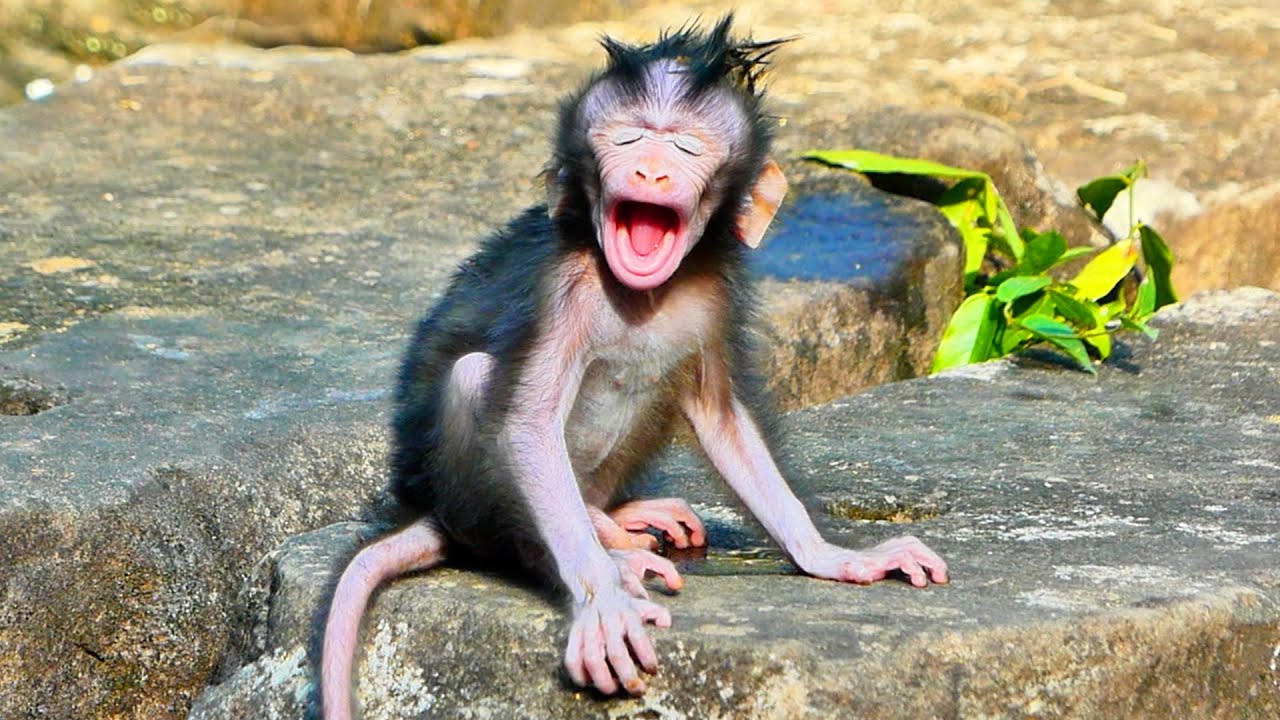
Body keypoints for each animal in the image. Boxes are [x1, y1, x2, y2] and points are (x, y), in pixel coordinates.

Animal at [321, 16, 948, 719]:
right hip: (468, 502)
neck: (643, 293)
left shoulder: (713, 295)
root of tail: (433, 509)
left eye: (685, 147)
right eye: (626, 139)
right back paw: (600, 547)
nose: (649, 172)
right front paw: (602, 601)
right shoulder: (565, 287)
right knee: (477, 381)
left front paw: (832, 556)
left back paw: (615, 518)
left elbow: (722, 418)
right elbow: (530, 421)